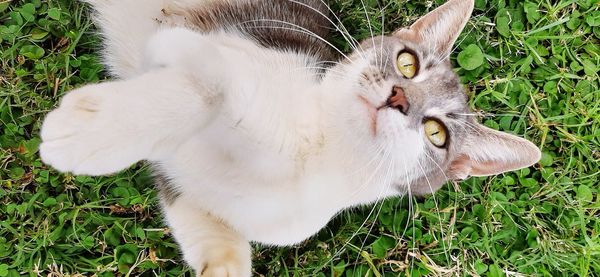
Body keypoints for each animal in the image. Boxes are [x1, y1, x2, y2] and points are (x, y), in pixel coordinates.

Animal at [39, 0, 540, 274]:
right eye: (407, 63)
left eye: (437, 133)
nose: (399, 98)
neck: (307, 152)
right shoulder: (184, 43)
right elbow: (208, 87)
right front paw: (90, 132)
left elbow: (202, 223)